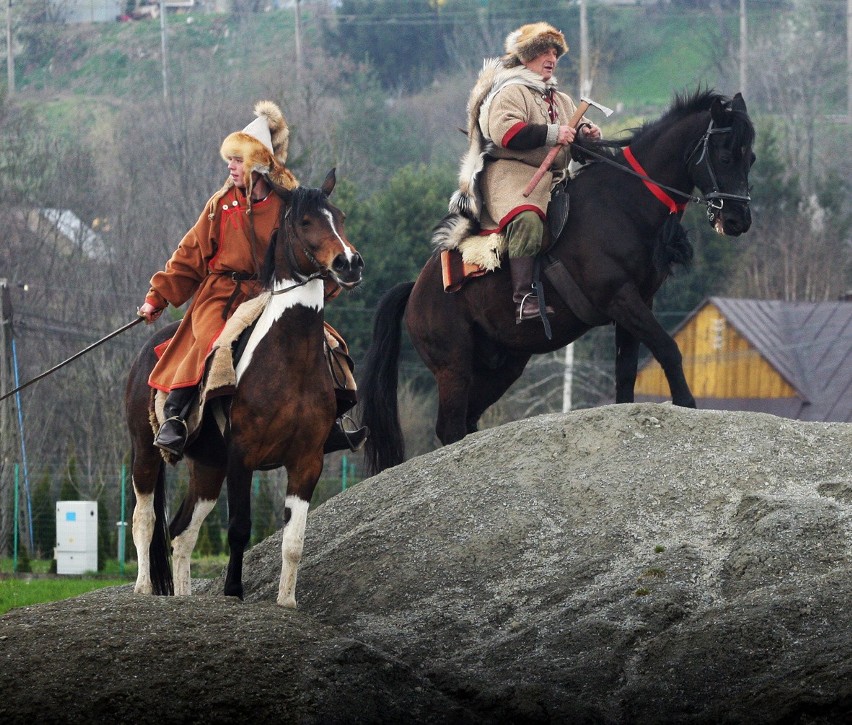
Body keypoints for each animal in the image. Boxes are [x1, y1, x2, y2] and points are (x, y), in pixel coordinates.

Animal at [125, 170, 362, 604]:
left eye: (339, 217)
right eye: (306, 221)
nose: (350, 264)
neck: (290, 358)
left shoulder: (307, 461)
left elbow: (294, 542)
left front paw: (287, 602)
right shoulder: (242, 455)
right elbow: (238, 529)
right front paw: (233, 593)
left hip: (208, 465)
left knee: (182, 532)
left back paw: (183, 595)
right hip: (146, 453)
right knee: (145, 519)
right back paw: (143, 587)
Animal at [358, 87, 752, 472]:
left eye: (750, 157)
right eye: (725, 155)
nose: (737, 221)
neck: (624, 203)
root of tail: (416, 290)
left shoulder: (637, 302)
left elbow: (626, 370)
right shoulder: (621, 298)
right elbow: (668, 348)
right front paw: (686, 402)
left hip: (503, 366)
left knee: (467, 419)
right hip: (453, 368)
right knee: (451, 426)